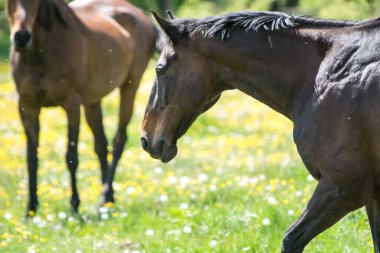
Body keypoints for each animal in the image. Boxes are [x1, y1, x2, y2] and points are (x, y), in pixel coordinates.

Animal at [5, 0, 160, 215]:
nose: (21, 37)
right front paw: (31, 209)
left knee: (118, 141)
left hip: (130, 86)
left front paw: (74, 205)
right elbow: (31, 158)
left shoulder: (72, 105)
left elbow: (71, 157)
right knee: (101, 145)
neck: (41, 53)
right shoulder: (27, 107)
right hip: (93, 102)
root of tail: (140, 15)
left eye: (35, 2)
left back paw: (105, 198)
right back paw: (107, 200)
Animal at [140, 11, 380, 253]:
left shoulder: (344, 187)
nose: (145, 138)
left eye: (159, 69)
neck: (322, 74)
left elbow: (290, 239)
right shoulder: (372, 197)